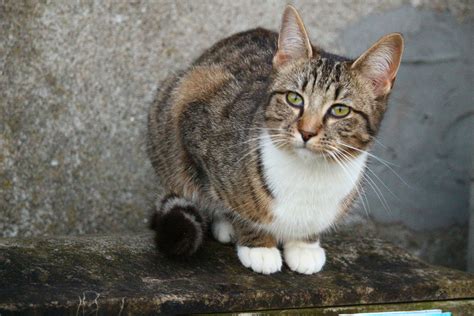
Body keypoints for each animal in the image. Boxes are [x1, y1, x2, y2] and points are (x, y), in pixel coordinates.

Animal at [146, 6, 402, 276]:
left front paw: (304, 245)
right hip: (172, 102)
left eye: (340, 110)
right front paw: (258, 244)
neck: (309, 173)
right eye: (294, 98)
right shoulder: (194, 118)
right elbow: (231, 203)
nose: (306, 131)